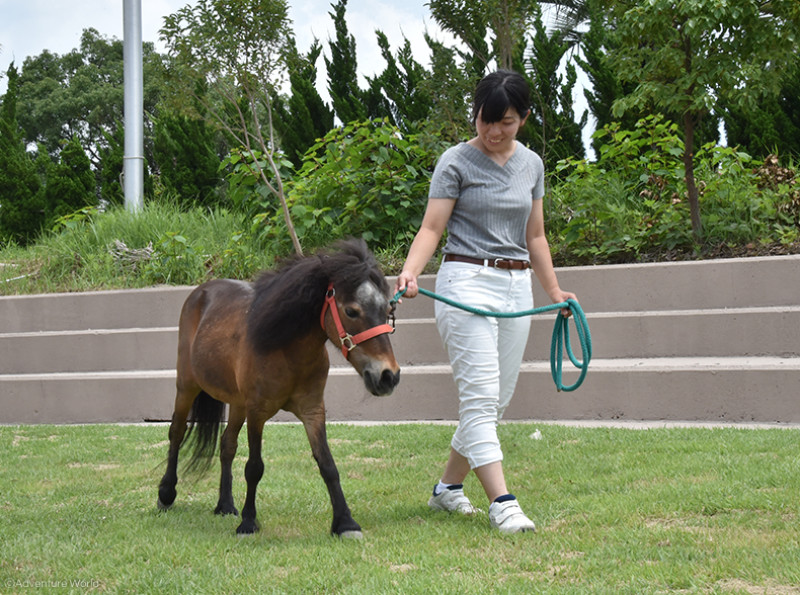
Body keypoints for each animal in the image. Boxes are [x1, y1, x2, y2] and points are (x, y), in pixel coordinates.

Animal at [155, 240, 400, 536]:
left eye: (388, 312)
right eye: (352, 311)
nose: (388, 376)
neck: (285, 347)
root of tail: (201, 291)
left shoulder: (312, 411)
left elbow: (327, 464)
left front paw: (345, 523)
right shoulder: (257, 412)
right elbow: (254, 467)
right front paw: (248, 522)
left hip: (237, 403)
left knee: (227, 444)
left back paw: (225, 504)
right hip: (187, 387)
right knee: (177, 433)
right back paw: (166, 493)